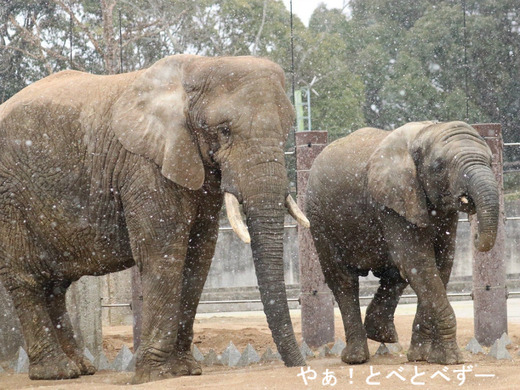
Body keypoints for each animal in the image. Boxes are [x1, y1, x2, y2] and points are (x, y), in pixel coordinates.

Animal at [0, 55, 308, 384]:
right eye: (224, 130)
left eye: (287, 130)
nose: (299, 366)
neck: (198, 68)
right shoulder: (144, 167)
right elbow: (163, 254)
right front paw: (155, 375)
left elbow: (199, 257)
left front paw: (186, 370)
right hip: (9, 198)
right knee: (26, 278)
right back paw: (56, 371)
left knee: (56, 285)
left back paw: (81, 368)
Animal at [304, 121, 500, 366]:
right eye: (439, 166)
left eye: (491, 162)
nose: (474, 235)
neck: (425, 132)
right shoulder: (392, 200)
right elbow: (419, 262)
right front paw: (451, 360)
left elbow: (440, 264)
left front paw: (423, 357)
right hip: (319, 218)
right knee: (343, 280)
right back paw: (355, 357)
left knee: (394, 274)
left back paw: (382, 334)